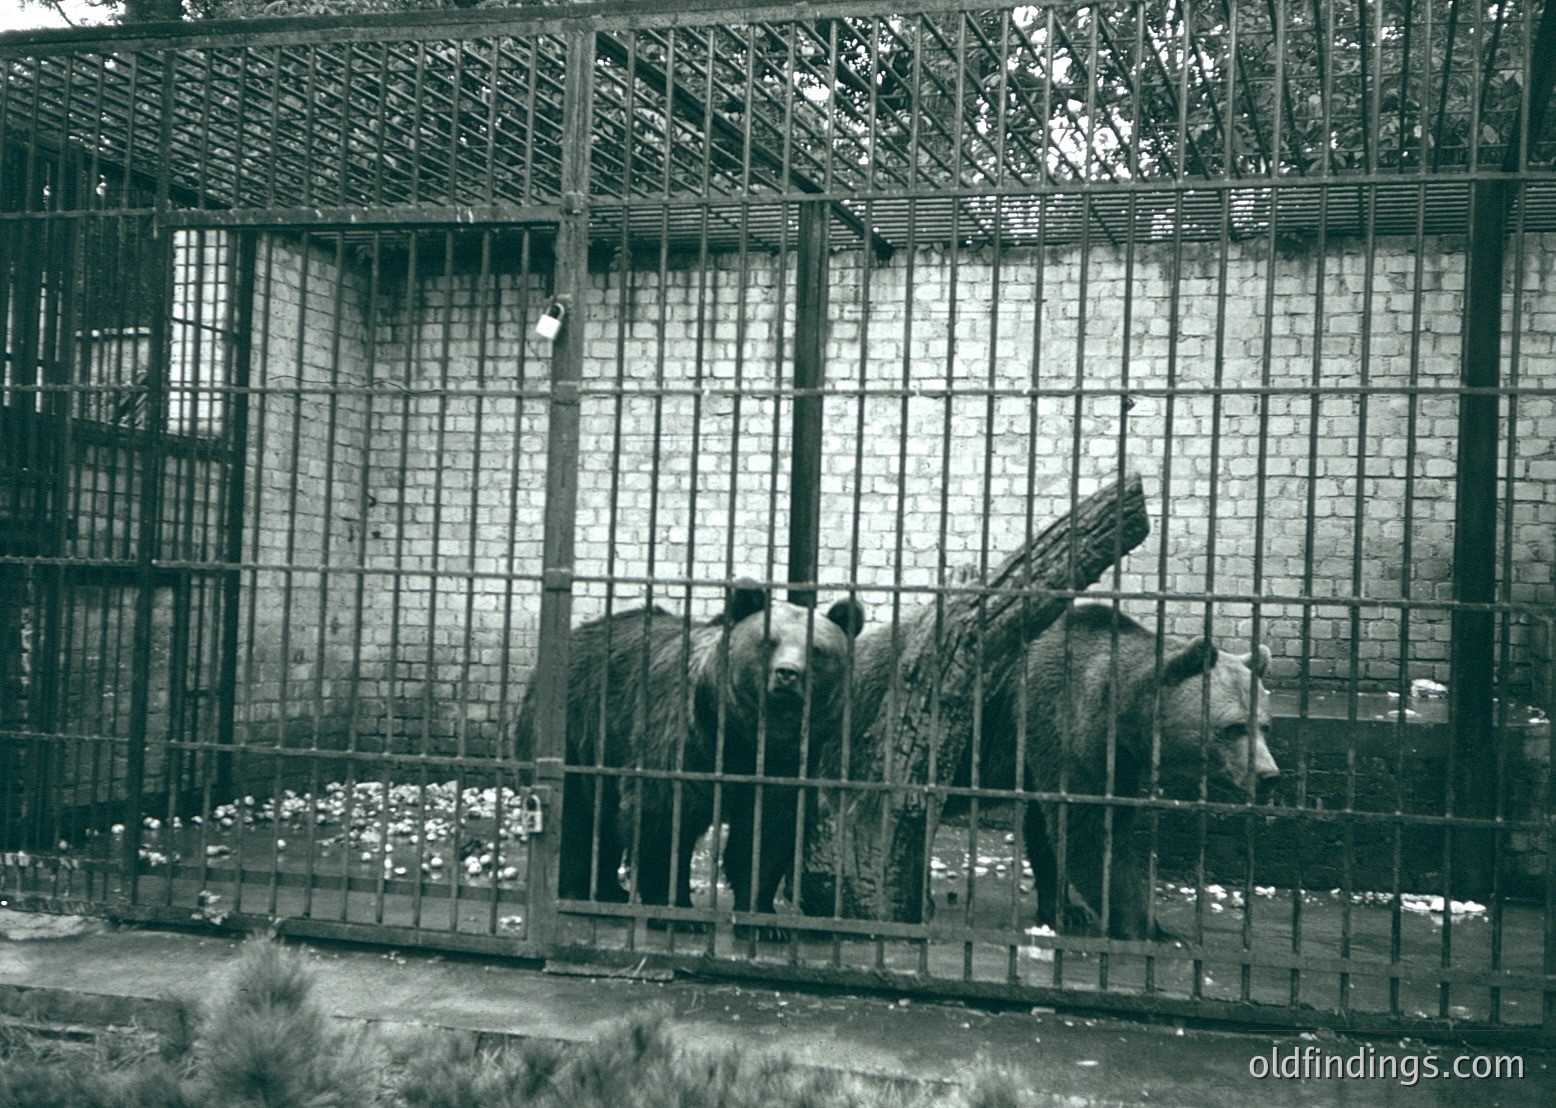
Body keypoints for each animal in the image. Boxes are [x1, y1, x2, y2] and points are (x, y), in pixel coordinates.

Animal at [513, 581, 866, 923]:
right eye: (769, 641)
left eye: (816, 650)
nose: (788, 673)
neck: (744, 737)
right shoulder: (687, 740)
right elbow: (662, 817)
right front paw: (675, 909)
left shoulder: (786, 764)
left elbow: (767, 830)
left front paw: (760, 913)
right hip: (577, 729)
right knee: (575, 816)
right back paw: (575, 890)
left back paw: (608, 890)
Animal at [977, 603, 1280, 941]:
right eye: (1234, 727)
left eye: (1264, 726)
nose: (1268, 775)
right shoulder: (1067, 723)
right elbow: (1092, 829)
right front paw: (1149, 927)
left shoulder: (1112, 759)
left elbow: (1048, 828)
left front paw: (1066, 910)